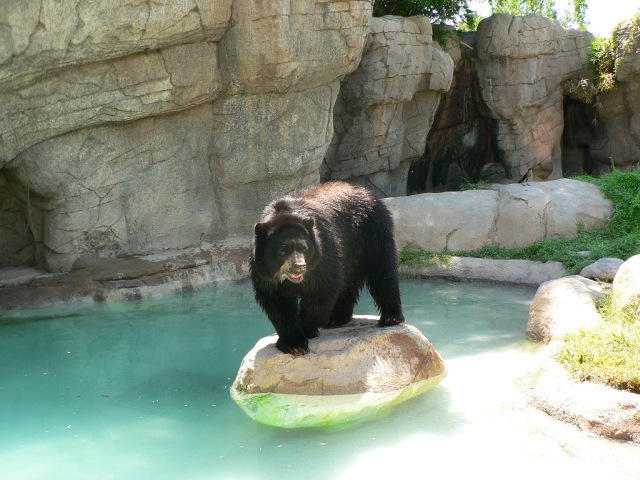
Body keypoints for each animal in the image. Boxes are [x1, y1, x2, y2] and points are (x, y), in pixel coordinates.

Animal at [250, 180, 404, 352]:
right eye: (282, 251)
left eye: (304, 248)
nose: (299, 266)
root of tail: (365, 191)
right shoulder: (264, 272)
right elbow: (277, 302)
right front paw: (293, 343)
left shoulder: (324, 254)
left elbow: (323, 289)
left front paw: (307, 329)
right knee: (349, 283)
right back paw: (337, 318)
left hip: (372, 234)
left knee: (383, 272)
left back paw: (391, 317)